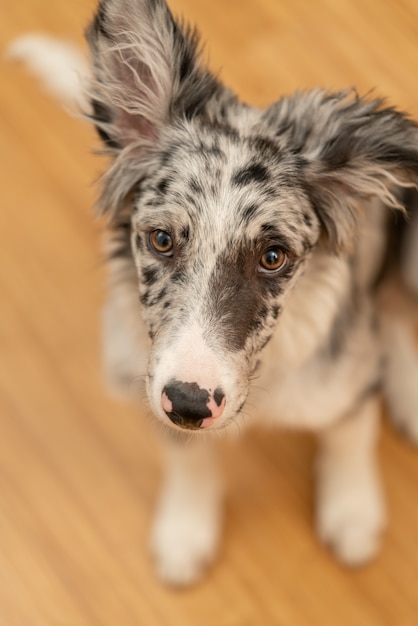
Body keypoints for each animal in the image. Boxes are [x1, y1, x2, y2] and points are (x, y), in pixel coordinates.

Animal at [12, 0, 418, 584]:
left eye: (274, 257)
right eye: (161, 240)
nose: (188, 403)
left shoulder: (347, 369)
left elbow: (350, 429)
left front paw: (353, 511)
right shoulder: (150, 377)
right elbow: (187, 457)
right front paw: (186, 528)